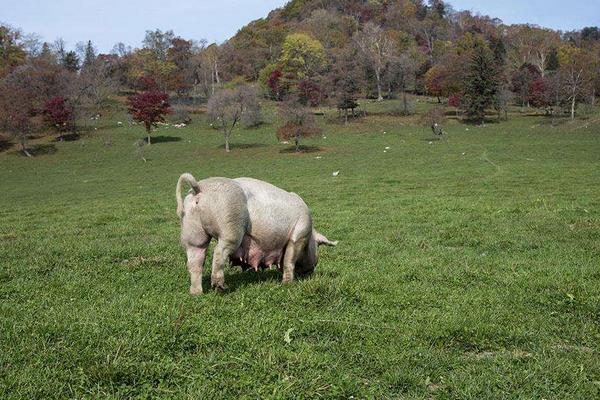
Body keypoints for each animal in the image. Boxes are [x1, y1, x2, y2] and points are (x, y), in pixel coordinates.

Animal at [177, 173, 338, 296]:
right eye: (317, 246)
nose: (310, 273)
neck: (309, 235)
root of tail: (199, 188)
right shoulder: (298, 236)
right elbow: (289, 261)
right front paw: (287, 284)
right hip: (231, 227)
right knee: (218, 252)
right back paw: (221, 288)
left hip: (192, 231)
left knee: (195, 260)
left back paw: (196, 293)